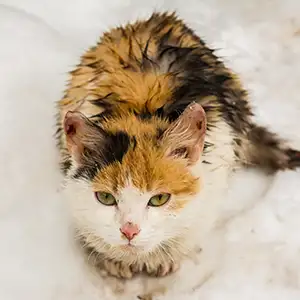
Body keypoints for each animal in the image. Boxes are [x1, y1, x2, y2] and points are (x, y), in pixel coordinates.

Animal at [55, 10, 300, 296]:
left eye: (159, 199)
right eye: (105, 198)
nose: (129, 231)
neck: (141, 113)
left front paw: (165, 258)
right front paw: (112, 259)